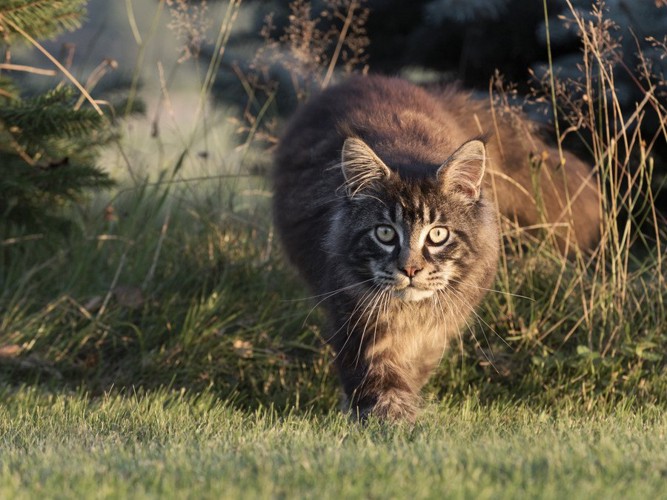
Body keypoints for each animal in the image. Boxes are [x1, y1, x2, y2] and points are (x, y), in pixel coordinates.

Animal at [272, 75, 600, 422]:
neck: (409, 313)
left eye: (438, 234)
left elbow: (411, 371)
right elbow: (378, 376)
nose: (410, 268)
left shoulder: (435, 331)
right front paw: (389, 418)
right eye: (385, 233)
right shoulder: (355, 316)